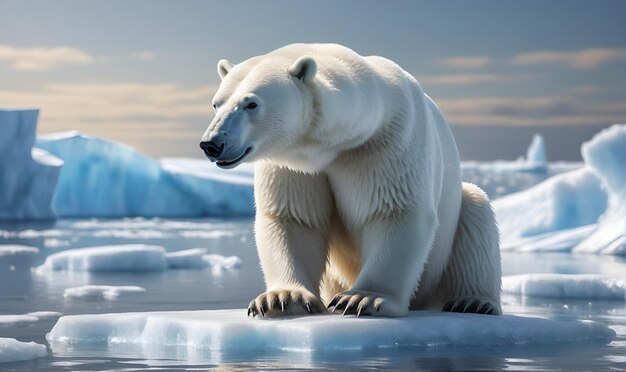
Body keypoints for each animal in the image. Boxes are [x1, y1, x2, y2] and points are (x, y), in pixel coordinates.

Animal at [201, 43, 502, 316]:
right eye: (216, 103)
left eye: (251, 104)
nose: (212, 144)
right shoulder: (291, 163)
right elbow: (293, 218)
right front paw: (281, 298)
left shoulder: (387, 143)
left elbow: (394, 210)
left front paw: (363, 299)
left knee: (476, 217)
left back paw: (473, 302)